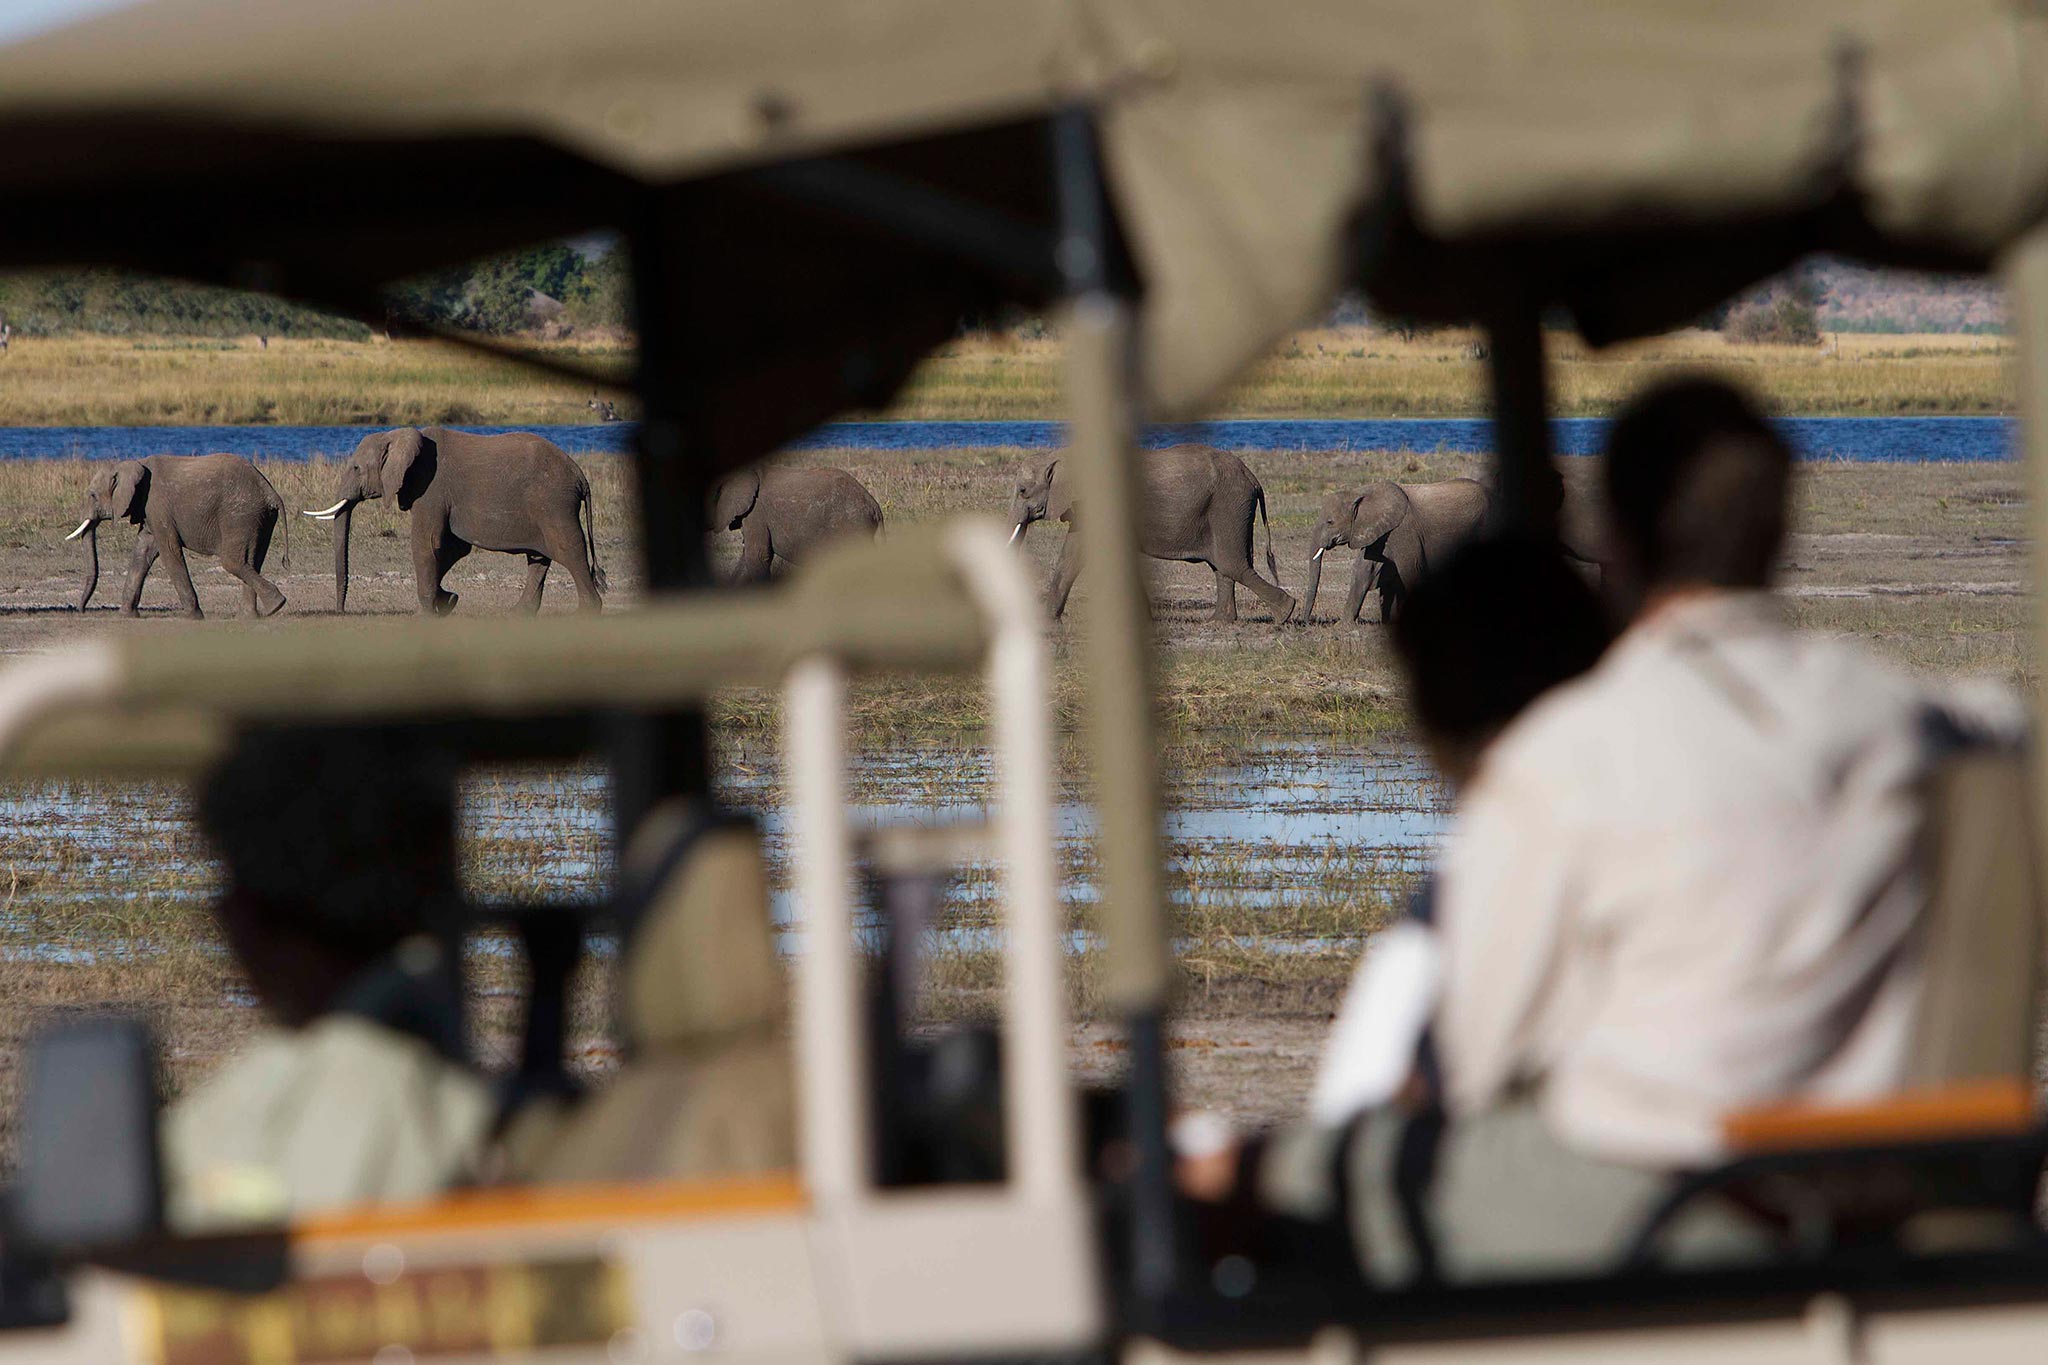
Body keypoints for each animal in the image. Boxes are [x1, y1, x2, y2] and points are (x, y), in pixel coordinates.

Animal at [68, 454, 290, 618]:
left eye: (93, 495)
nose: (80, 610)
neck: (132, 463)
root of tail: (270, 491)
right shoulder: (150, 512)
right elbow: (143, 551)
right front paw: (126, 615)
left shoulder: (157, 505)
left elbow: (169, 550)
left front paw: (194, 616)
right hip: (259, 518)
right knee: (252, 560)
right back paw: (250, 616)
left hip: (240, 515)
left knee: (232, 562)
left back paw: (276, 605)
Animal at [303, 429, 606, 618]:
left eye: (356, 468)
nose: (341, 611)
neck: (399, 436)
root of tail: (581, 476)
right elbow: (451, 549)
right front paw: (448, 602)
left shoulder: (430, 488)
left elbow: (427, 544)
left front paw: (425, 614)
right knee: (539, 558)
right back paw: (517, 614)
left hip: (554, 503)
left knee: (568, 549)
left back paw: (586, 613)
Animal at [1007, 444, 1294, 626]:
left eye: (1022, 491)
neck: (1058, 455)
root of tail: (1252, 477)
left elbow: (1076, 553)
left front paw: (1045, 620)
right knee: (1223, 567)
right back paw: (1220, 621)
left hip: (1228, 505)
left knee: (1232, 564)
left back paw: (1285, 614)